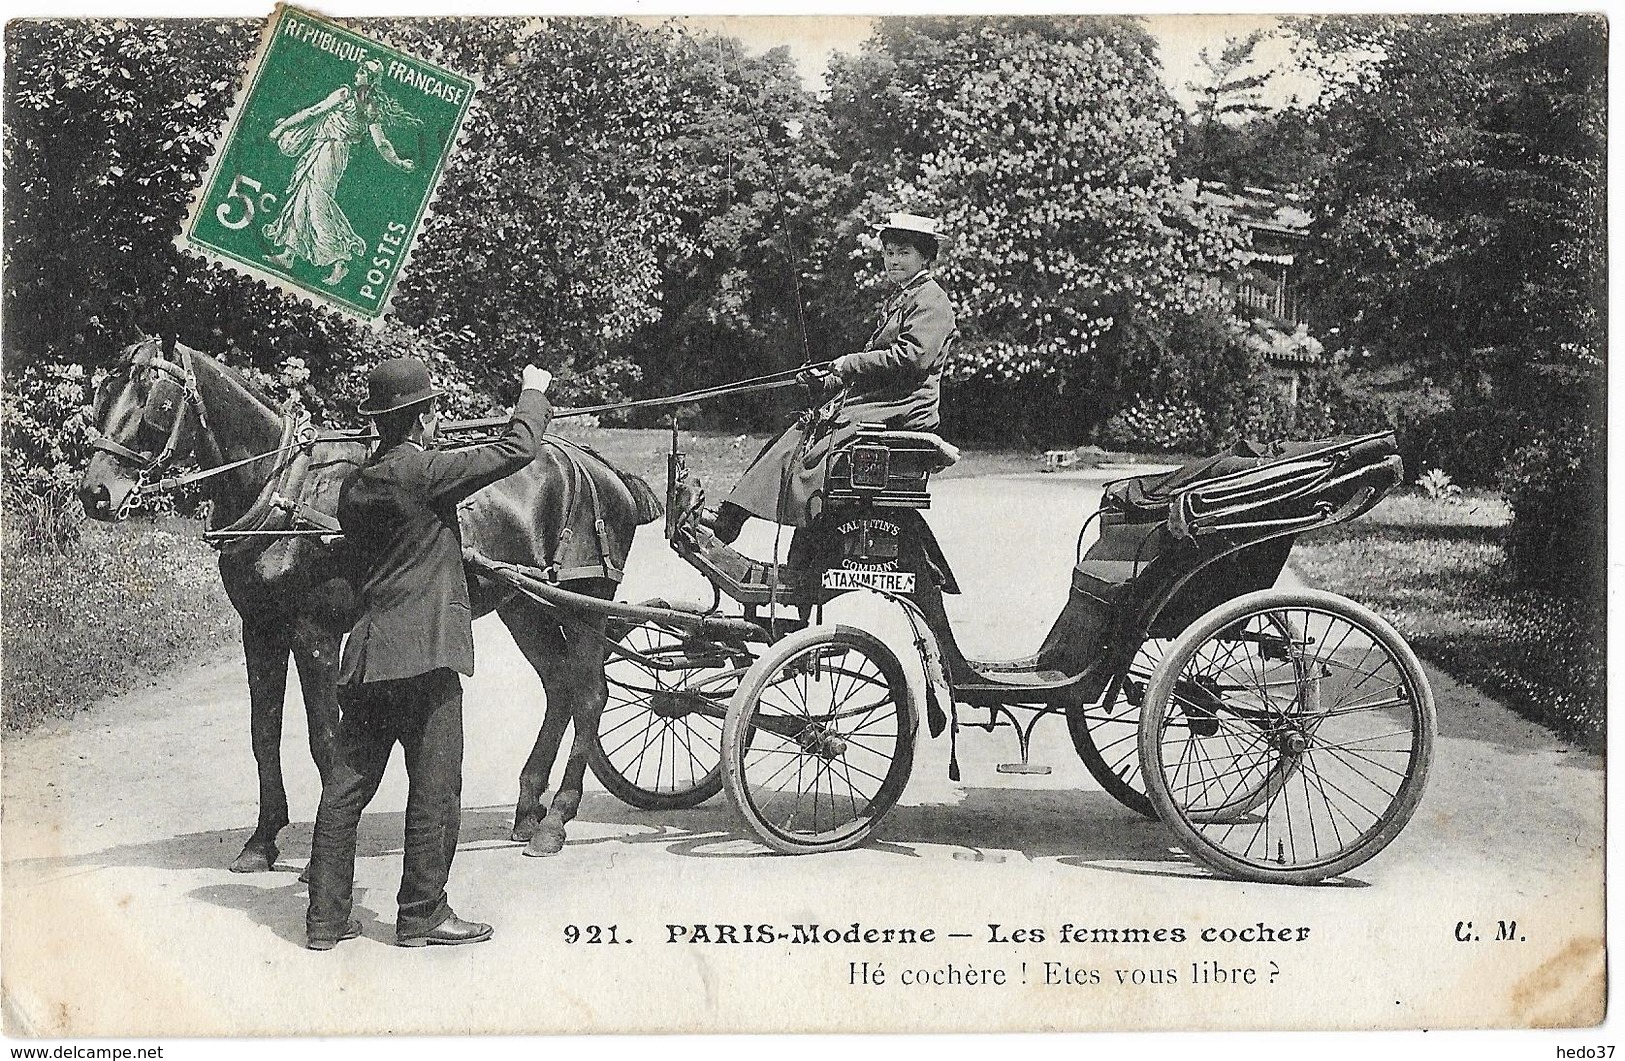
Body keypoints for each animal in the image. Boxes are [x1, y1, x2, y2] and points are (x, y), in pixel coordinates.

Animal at [76, 337, 659, 870]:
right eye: (103, 393)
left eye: (154, 399)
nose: (94, 494)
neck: (283, 492)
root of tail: (601, 469)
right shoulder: (259, 630)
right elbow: (263, 732)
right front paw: (262, 841)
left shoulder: (314, 633)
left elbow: (323, 736)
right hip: (526, 604)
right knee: (560, 688)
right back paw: (528, 809)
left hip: (586, 601)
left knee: (590, 694)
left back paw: (556, 820)